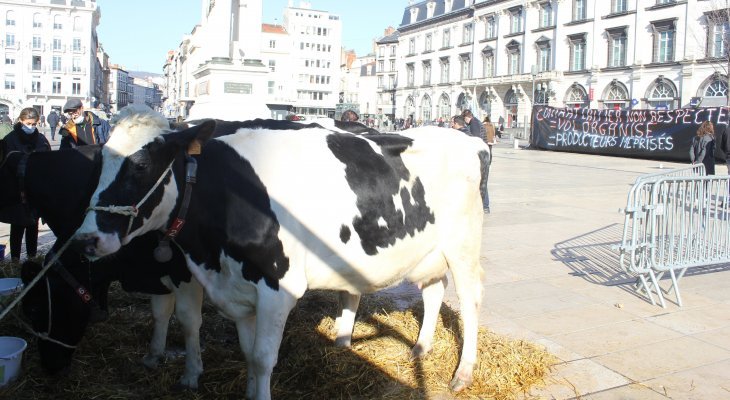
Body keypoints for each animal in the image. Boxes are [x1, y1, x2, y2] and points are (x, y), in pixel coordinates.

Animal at [0, 141, 203, 388]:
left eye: (34, 309)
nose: (50, 368)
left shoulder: (183, 272)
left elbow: (188, 320)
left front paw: (191, 374)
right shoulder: (156, 271)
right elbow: (160, 312)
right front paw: (153, 356)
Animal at [74, 106, 486, 400]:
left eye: (141, 165)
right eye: (98, 162)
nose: (85, 240)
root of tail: (467, 141)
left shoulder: (276, 287)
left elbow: (260, 357)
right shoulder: (235, 286)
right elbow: (245, 352)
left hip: (464, 245)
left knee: (469, 301)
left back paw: (463, 373)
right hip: (429, 252)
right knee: (433, 291)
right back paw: (420, 347)